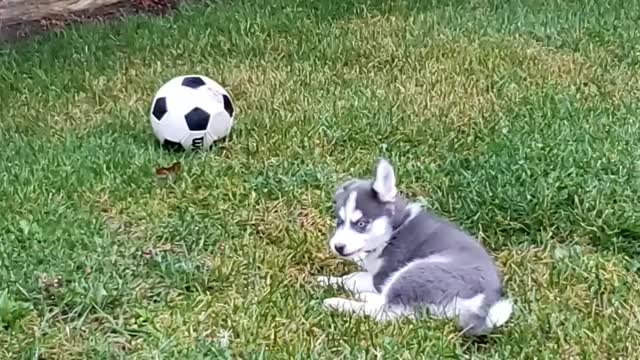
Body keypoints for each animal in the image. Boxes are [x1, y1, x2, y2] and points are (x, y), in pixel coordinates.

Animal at [318, 158, 512, 334]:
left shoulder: (382, 276)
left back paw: (339, 303)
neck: (393, 230)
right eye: (339, 221)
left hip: (413, 274)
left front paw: (330, 281)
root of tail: (486, 301)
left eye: (361, 223)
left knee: (385, 312)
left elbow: (354, 277)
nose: (338, 247)